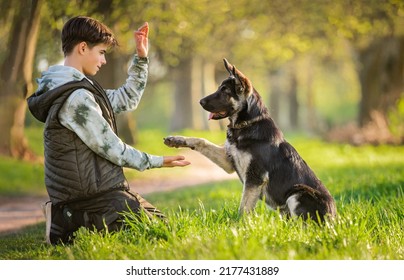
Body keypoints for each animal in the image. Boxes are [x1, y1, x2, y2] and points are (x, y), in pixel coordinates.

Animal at [164, 58, 338, 221]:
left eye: (224, 91)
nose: (200, 102)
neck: (247, 124)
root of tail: (334, 219)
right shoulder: (229, 162)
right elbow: (201, 141)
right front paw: (176, 140)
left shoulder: (254, 178)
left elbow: (244, 208)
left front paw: (240, 226)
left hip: (298, 193)